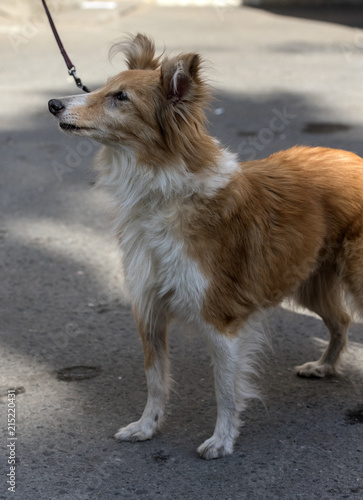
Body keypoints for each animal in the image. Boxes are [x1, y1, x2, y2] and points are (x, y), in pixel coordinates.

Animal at [49, 33, 363, 458]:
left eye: (120, 97)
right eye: (104, 88)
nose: (53, 104)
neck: (161, 192)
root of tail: (353, 157)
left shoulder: (222, 319)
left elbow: (225, 389)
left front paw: (222, 439)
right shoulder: (149, 310)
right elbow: (155, 381)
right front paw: (147, 427)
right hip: (308, 281)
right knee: (341, 321)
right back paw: (325, 366)